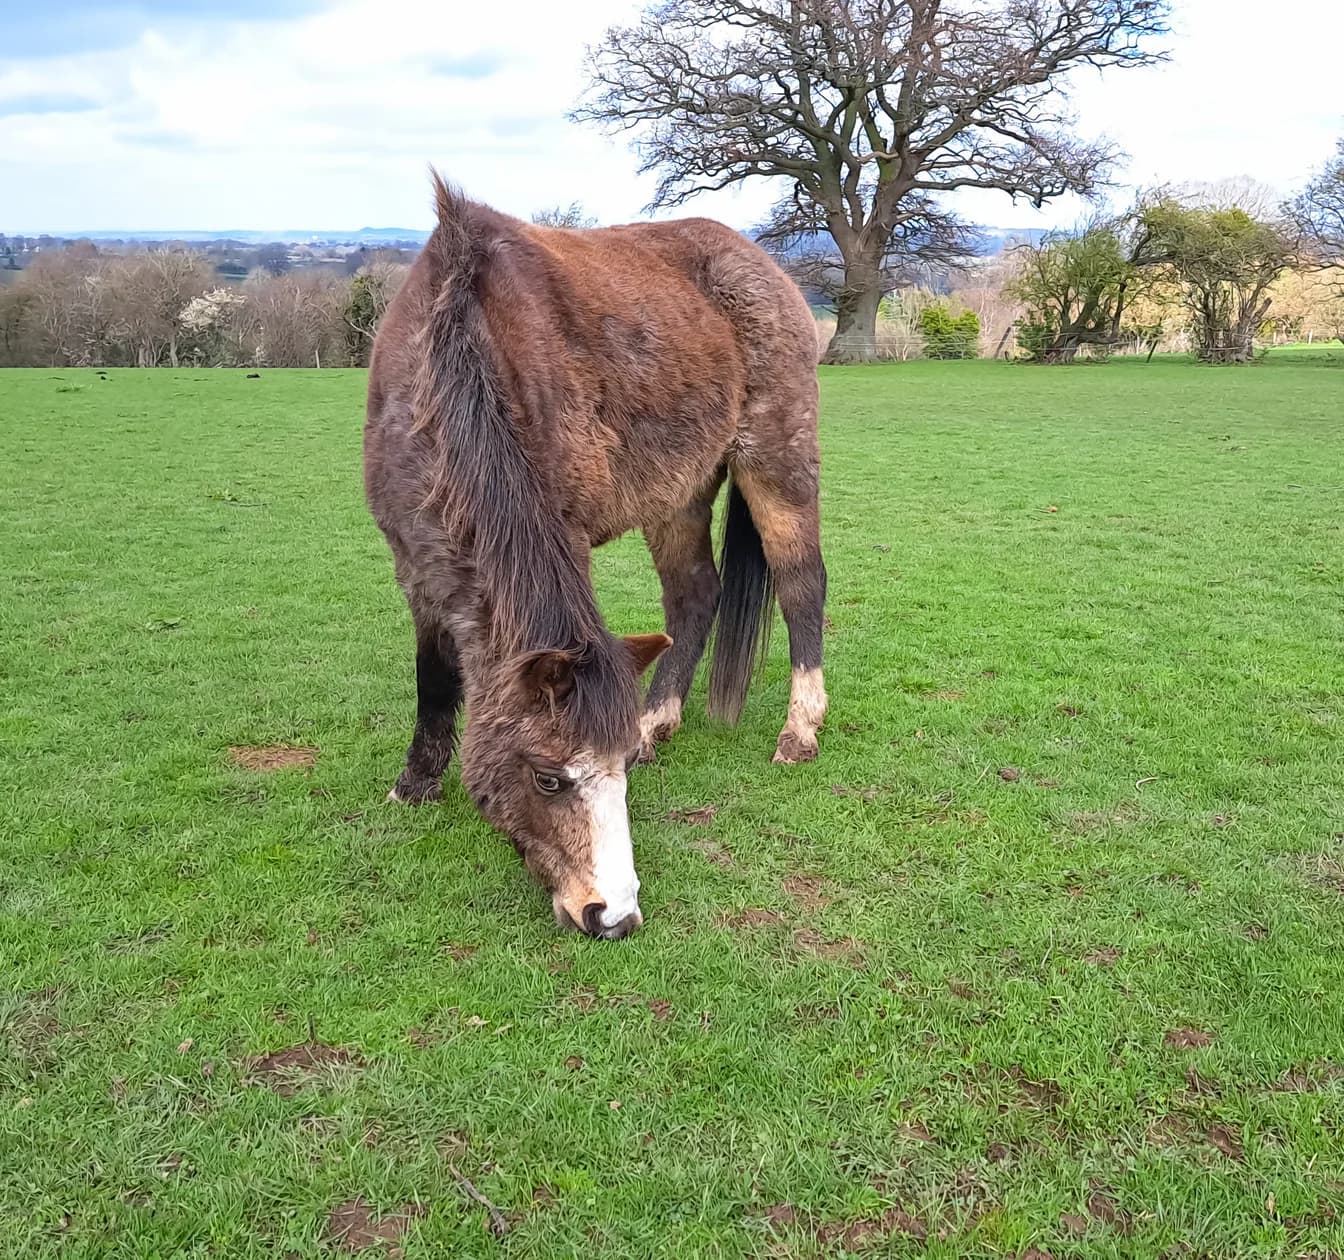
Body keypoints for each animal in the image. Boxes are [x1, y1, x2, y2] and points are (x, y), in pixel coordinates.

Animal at [363, 175, 827, 939]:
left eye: (620, 770)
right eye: (549, 777)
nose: (614, 914)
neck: (455, 359)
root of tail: (762, 265)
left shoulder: (565, 536)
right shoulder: (415, 565)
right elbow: (435, 676)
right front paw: (415, 784)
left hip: (777, 461)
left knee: (801, 586)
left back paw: (800, 730)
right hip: (678, 493)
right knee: (695, 594)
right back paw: (659, 718)